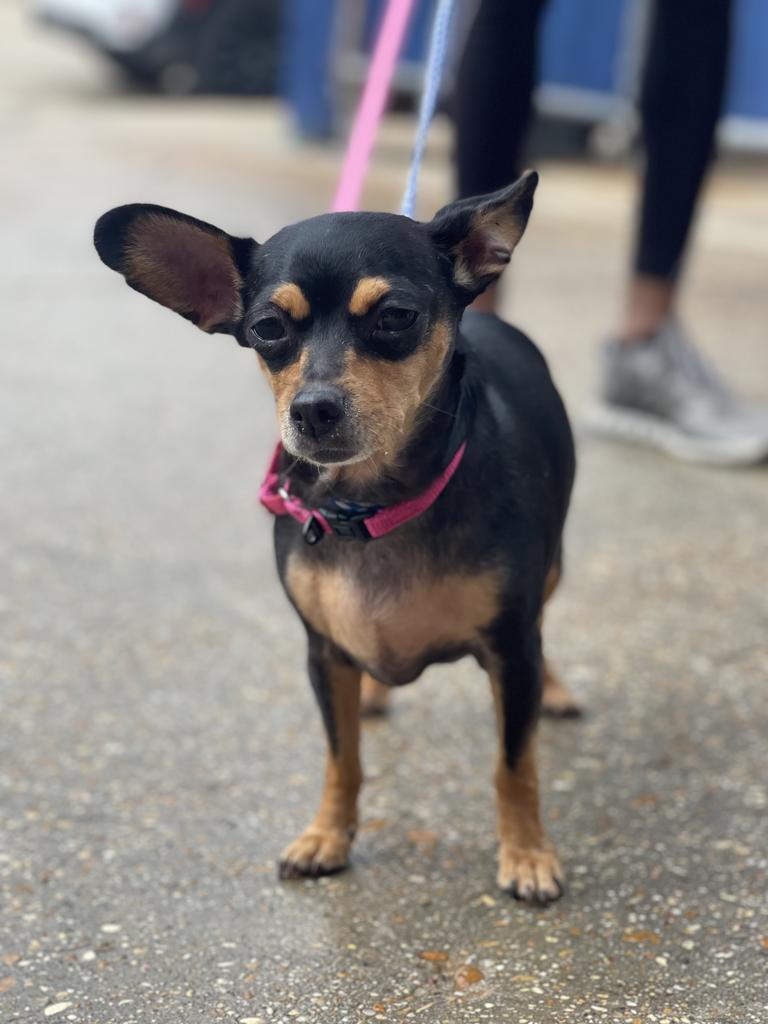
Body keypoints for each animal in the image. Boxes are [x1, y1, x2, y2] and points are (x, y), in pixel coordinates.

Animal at [94, 174, 577, 905]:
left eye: (396, 317)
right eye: (266, 329)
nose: (313, 409)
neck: (371, 506)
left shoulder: (509, 647)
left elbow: (512, 763)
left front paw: (526, 853)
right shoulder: (323, 654)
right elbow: (341, 758)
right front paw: (328, 836)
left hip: (550, 575)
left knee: (545, 626)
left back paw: (554, 690)